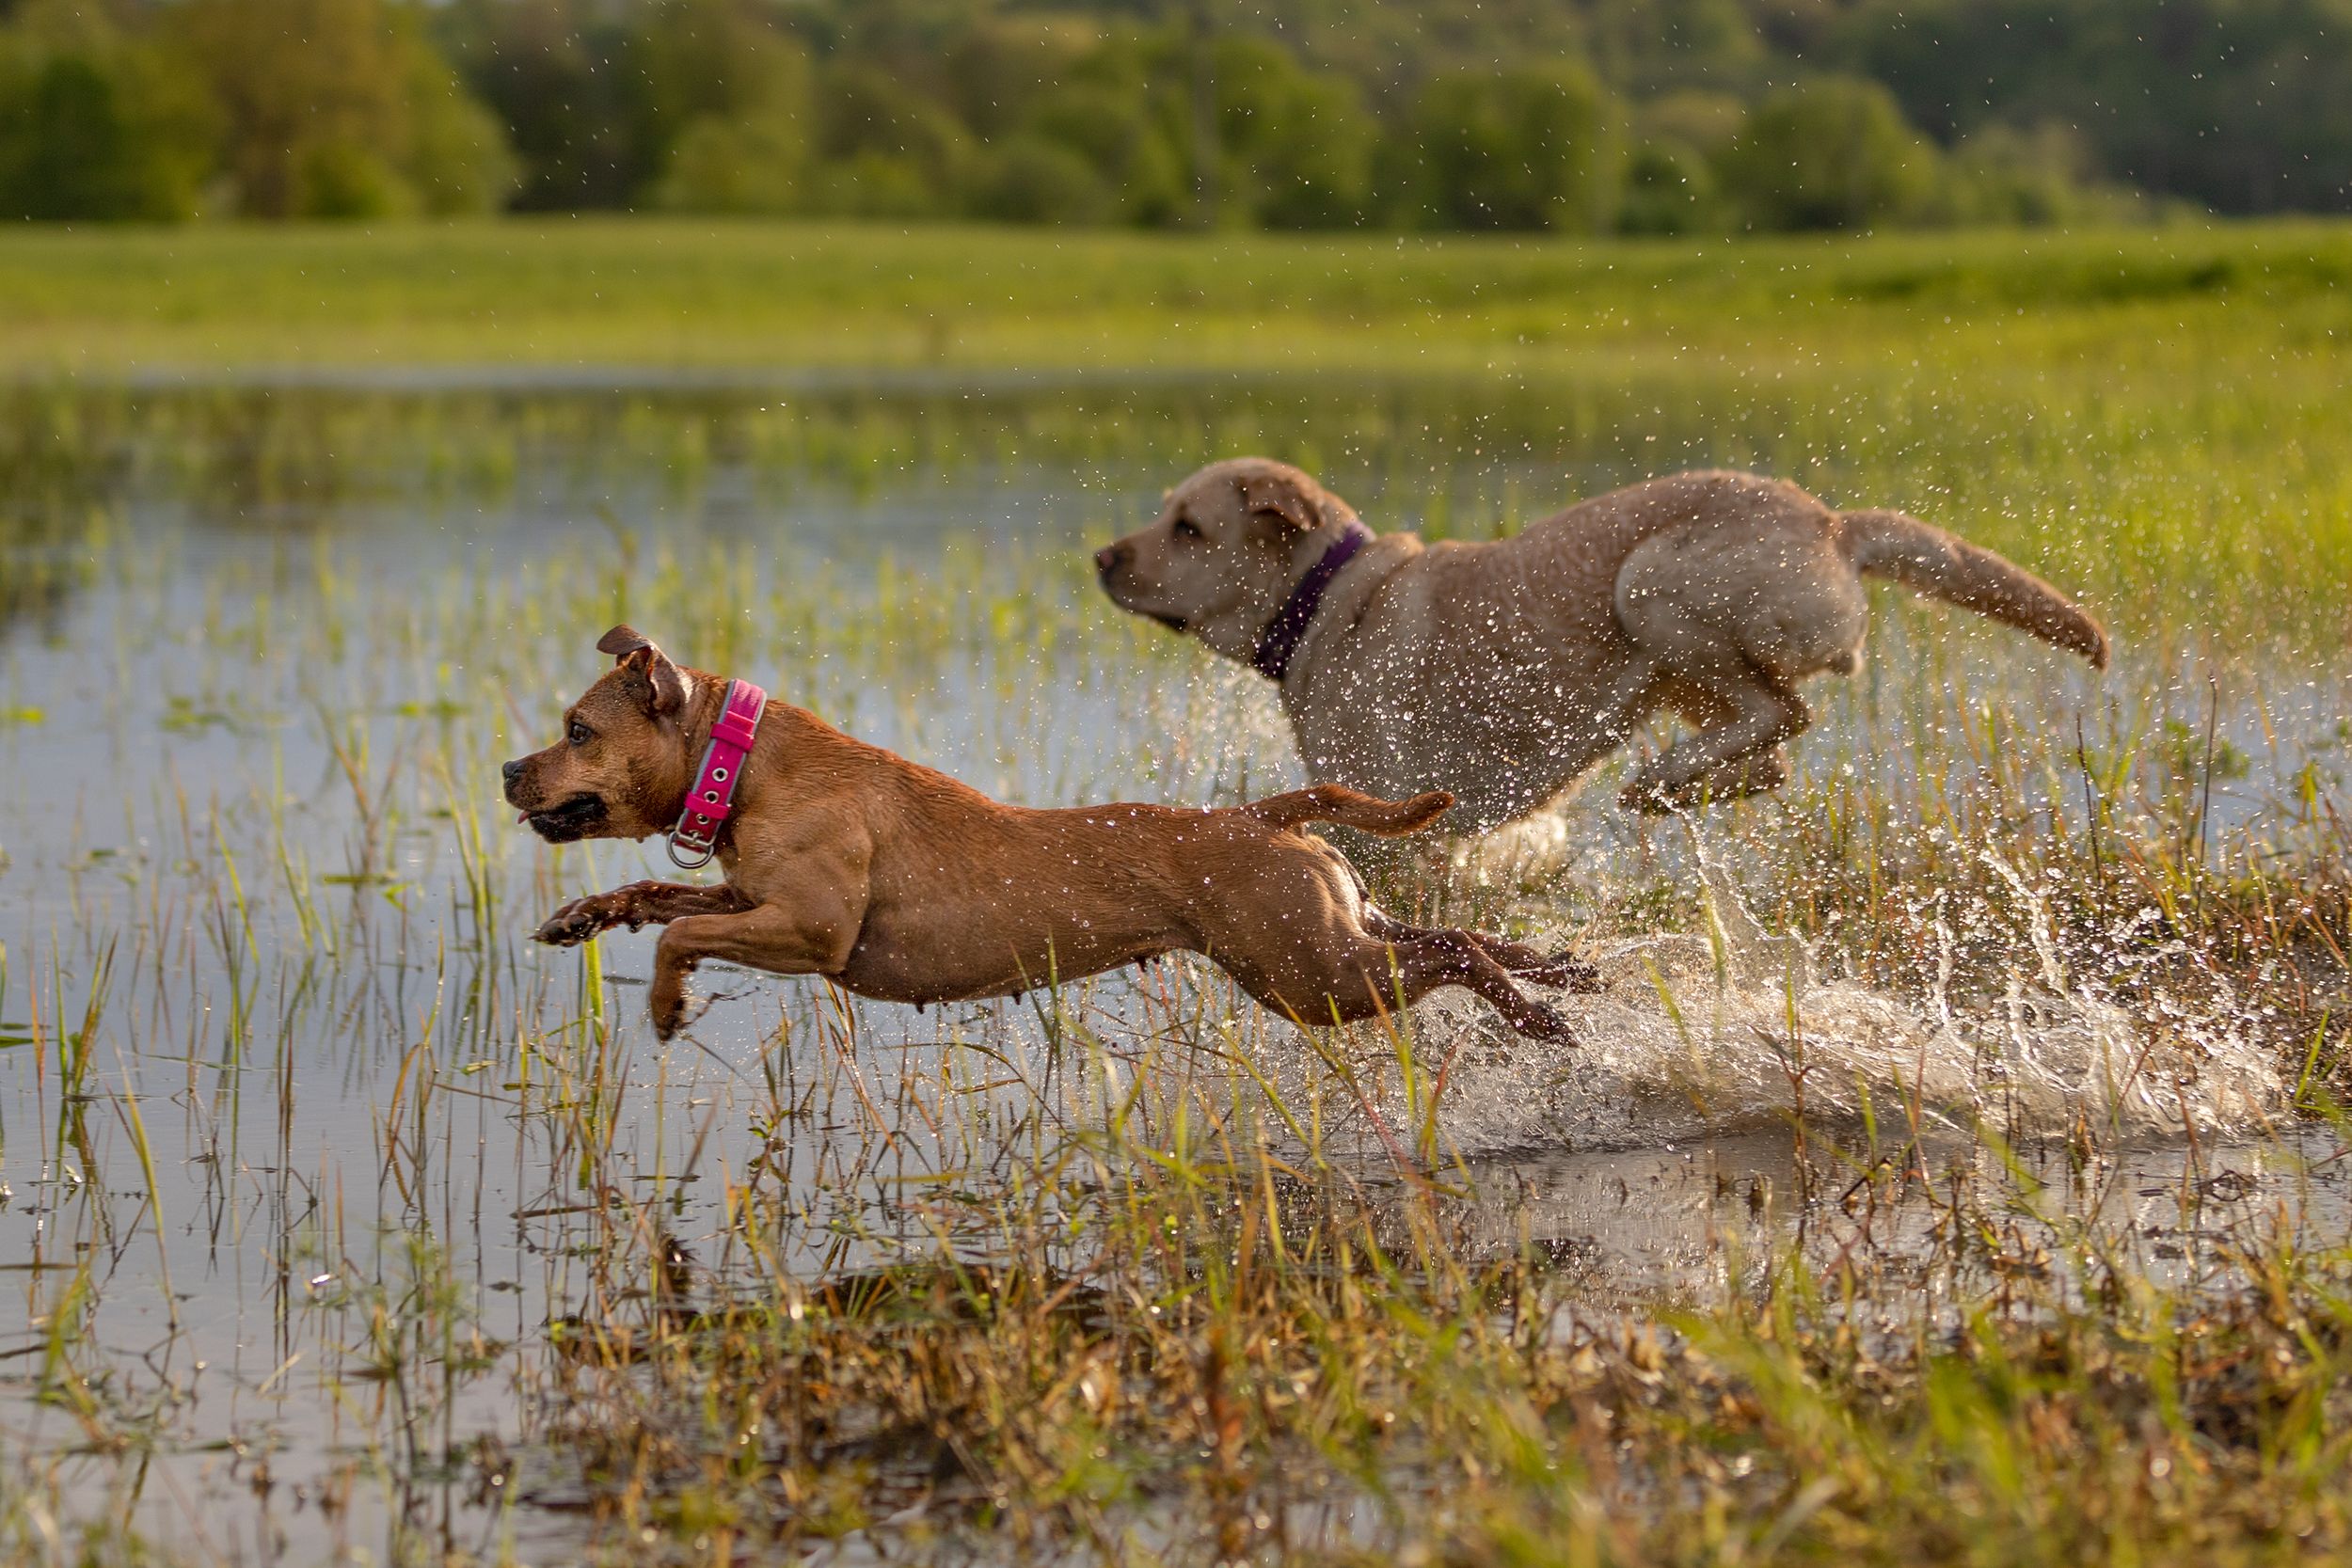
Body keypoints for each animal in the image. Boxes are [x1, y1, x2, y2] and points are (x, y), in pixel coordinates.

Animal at [503, 625, 1590, 1043]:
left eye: (576, 729)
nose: (510, 770)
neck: (741, 762)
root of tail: (1260, 813)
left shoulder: (812, 930)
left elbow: (683, 931)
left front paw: (665, 1004)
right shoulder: (750, 897)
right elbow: (659, 898)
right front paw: (580, 917)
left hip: (1311, 976)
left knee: (1452, 950)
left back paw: (1537, 1013)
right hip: (1330, 933)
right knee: (1458, 932)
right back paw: (1562, 971)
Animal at [1091, 455, 2107, 832]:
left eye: (1187, 527)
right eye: (1163, 511)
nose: (1100, 554)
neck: (1333, 601)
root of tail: (1834, 523)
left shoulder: (1389, 821)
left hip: (1649, 587)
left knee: (1786, 710)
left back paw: (1662, 780)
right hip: (1668, 665)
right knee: (1772, 748)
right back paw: (1676, 788)